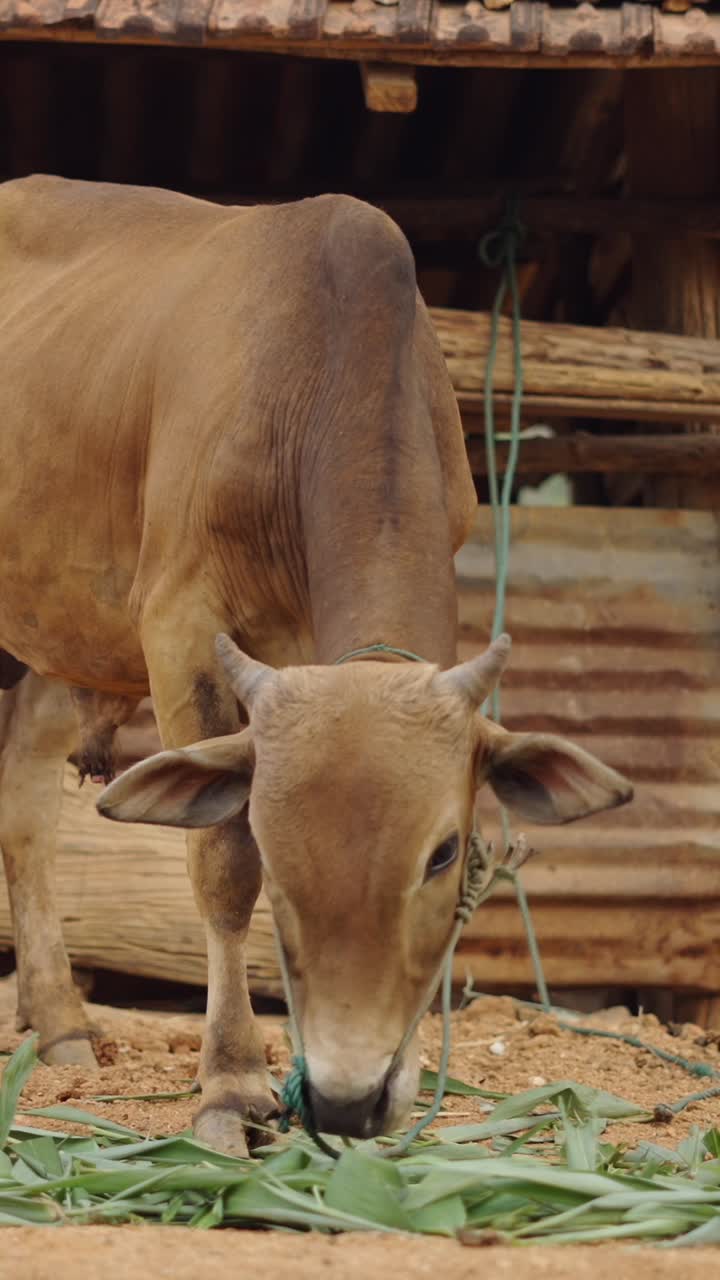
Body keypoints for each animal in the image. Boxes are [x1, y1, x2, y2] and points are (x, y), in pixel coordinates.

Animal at [0, 175, 633, 1155]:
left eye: (446, 852)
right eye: (276, 841)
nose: (346, 1099)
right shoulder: (180, 626)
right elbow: (221, 864)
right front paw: (230, 1085)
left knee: (25, 790)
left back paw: (62, 1021)